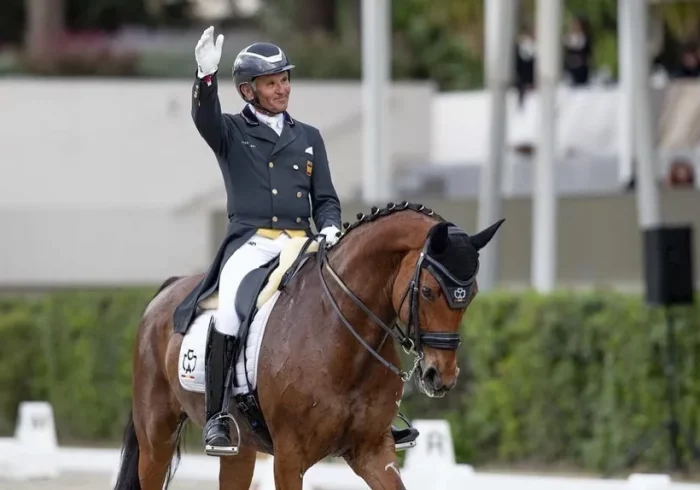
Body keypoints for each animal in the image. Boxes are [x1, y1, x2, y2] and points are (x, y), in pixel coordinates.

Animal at [112, 200, 504, 490]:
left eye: (470, 295)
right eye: (428, 291)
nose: (441, 376)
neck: (342, 339)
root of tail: (168, 291)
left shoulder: (372, 450)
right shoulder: (289, 458)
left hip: (239, 450)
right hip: (156, 438)